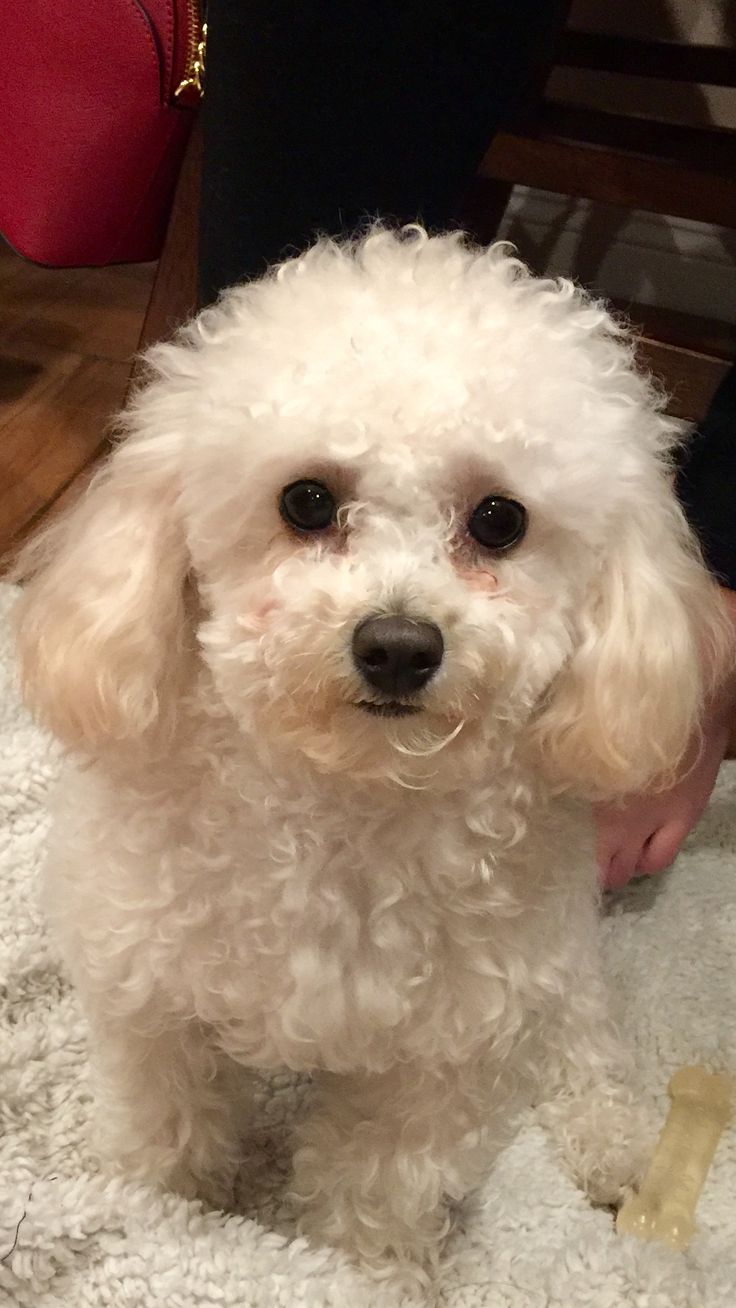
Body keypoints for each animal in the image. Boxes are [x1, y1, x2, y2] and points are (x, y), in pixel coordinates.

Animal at [14, 230, 726, 1281]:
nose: (396, 646)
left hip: (552, 955)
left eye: (499, 520)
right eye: (306, 501)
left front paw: (358, 1267)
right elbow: (169, 1127)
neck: (347, 803)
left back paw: (619, 1142)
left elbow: (378, 1181)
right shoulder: (153, 1004)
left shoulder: (442, 1059)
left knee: (581, 1027)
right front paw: (157, 1209)